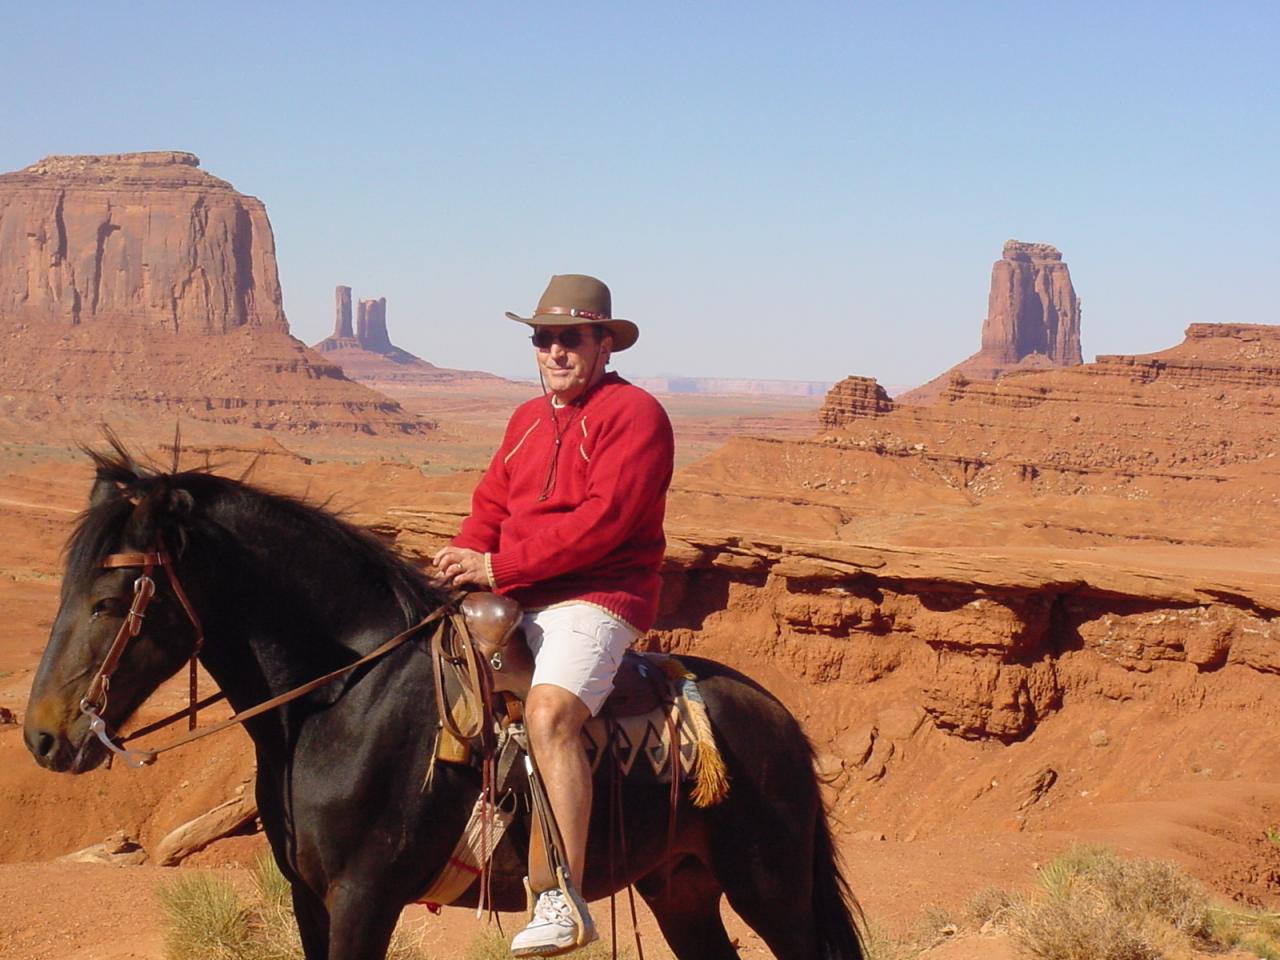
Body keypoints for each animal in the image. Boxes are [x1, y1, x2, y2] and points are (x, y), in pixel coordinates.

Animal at [22, 445, 860, 960]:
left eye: (110, 600)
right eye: (63, 590)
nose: (43, 737)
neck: (342, 703)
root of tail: (779, 718)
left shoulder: (364, 899)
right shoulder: (309, 898)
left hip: (771, 887)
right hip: (680, 885)